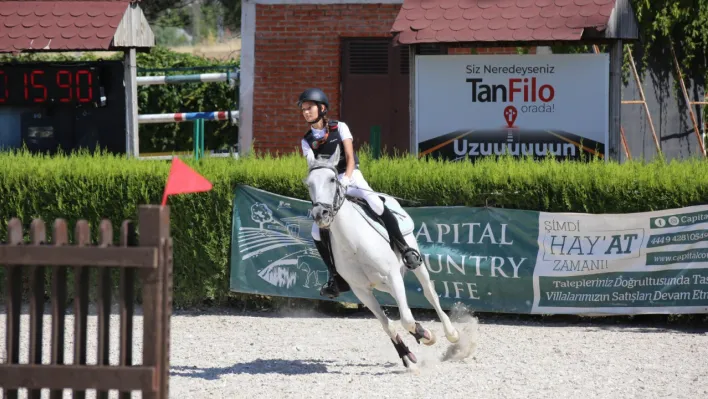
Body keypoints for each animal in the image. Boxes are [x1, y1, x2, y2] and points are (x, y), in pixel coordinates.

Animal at [306, 147, 462, 368]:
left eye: (332, 179)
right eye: (308, 183)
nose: (321, 214)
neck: (353, 243)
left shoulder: (392, 276)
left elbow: (407, 319)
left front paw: (426, 335)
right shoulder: (361, 290)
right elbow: (388, 325)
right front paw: (407, 356)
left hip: (413, 263)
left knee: (429, 293)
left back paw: (451, 334)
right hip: (380, 284)